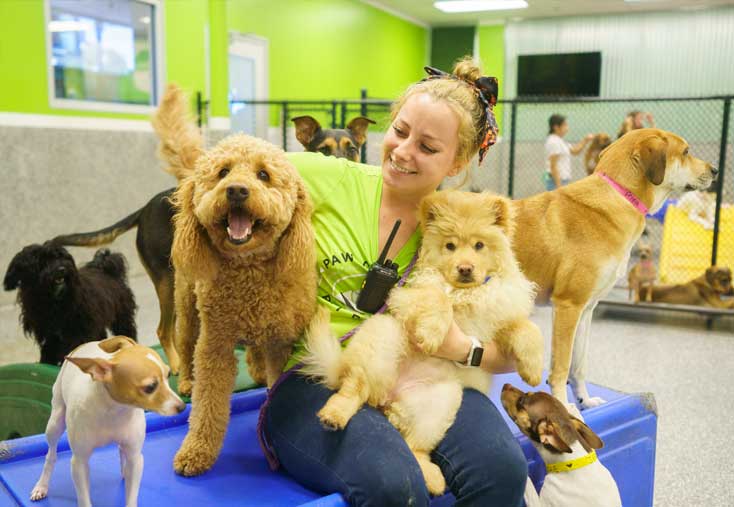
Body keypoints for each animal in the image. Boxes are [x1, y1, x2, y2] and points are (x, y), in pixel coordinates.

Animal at [2, 245, 137, 368]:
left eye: (62, 257)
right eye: (43, 262)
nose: (62, 268)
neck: (53, 301)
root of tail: (105, 268)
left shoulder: (78, 330)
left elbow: (72, 347)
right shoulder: (48, 333)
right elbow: (49, 349)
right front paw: (46, 362)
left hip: (121, 317)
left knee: (127, 331)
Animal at [30, 338, 187, 507]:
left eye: (168, 375)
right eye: (150, 387)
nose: (182, 407)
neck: (114, 410)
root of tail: (84, 344)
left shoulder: (135, 459)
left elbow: (131, 496)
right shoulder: (79, 463)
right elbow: (84, 500)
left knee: (121, 450)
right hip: (55, 424)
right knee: (51, 455)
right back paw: (42, 485)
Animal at [154, 83, 318, 476]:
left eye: (263, 175)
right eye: (224, 172)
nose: (237, 190)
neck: (249, 275)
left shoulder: (280, 342)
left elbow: (275, 382)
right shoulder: (215, 344)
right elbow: (207, 405)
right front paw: (196, 451)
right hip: (187, 308)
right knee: (183, 344)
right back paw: (186, 379)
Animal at [512, 128, 720, 408]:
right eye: (686, 151)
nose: (715, 170)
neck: (620, 195)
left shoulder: (585, 310)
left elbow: (579, 366)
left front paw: (584, 401)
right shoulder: (568, 305)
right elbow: (561, 368)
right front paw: (564, 408)